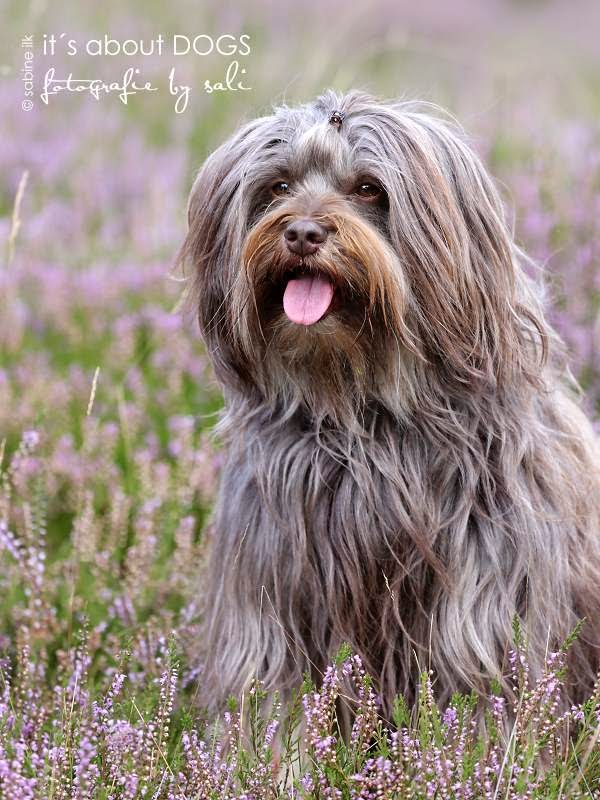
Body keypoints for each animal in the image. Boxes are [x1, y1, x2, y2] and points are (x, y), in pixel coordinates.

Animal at [177, 89, 600, 720]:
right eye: (278, 187)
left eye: (369, 189)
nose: (302, 233)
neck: (364, 416)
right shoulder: (273, 588)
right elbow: (274, 691)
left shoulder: (483, 593)